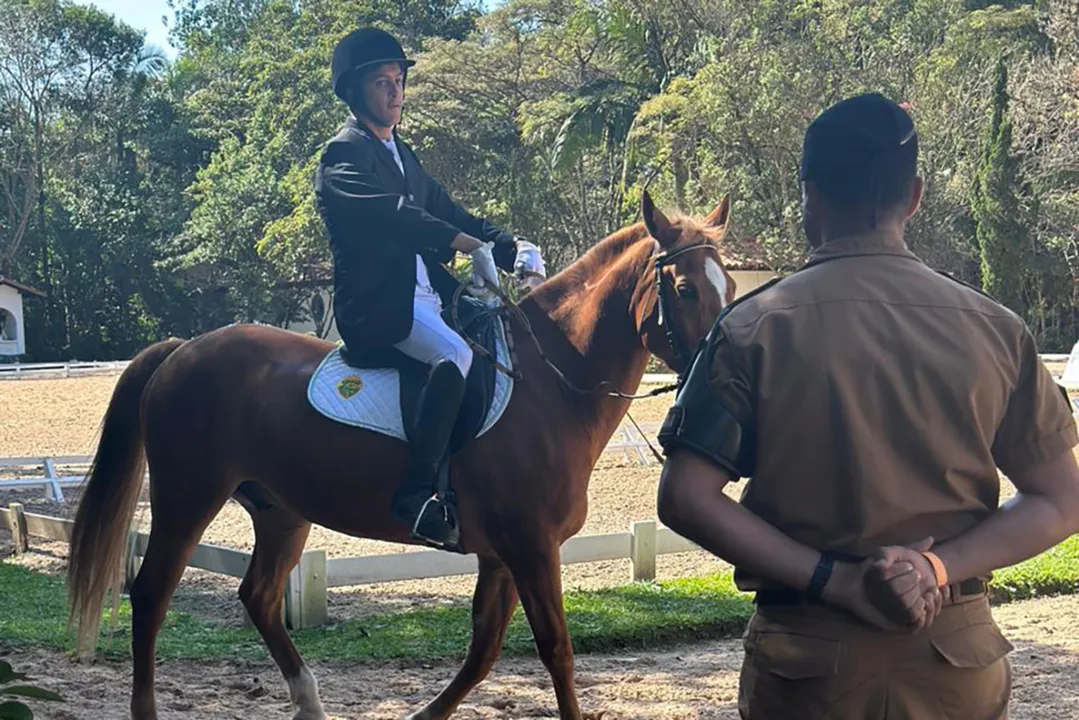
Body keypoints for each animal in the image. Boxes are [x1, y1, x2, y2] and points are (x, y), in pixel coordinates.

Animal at [63, 191, 738, 720]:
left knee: (257, 596)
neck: (549, 383)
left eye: (729, 285)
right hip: (187, 498)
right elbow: (556, 649)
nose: (719, 383)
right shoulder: (530, 546)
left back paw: (310, 703)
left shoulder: (501, 554)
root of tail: (182, 349)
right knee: (152, 594)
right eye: (683, 289)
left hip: (283, 513)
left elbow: (484, 652)